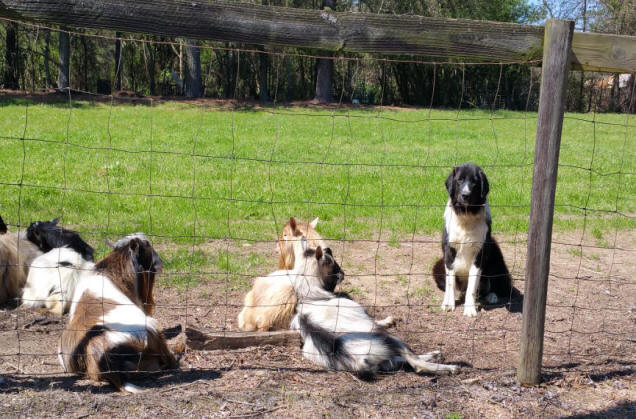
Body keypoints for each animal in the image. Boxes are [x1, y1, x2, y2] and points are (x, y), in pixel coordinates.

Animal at [290, 243, 460, 378]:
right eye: (332, 262)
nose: (343, 274)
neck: (311, 296)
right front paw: (388, 320)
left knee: (397, 361)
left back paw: (435, 356)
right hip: (388, 339)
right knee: (413, 362)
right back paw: (449, 367)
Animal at [434, 162, 516, 316]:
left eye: (474, 182)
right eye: (459, 180)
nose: (465, 195)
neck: (466, 217)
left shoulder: (479, 255)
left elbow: (472, 287)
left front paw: (470, 309)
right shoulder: (449, 252)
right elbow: (450, 282)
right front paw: (448, 303)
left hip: (497, 259)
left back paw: (492, 296)